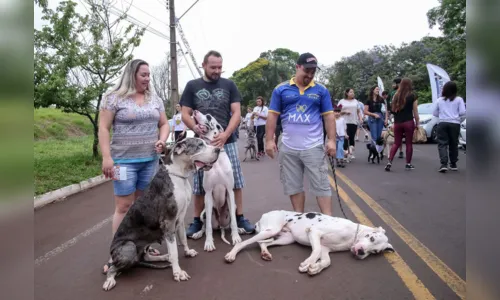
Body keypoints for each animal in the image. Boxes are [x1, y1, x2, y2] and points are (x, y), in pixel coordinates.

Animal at [102, 137, 221, 290]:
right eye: (200, 145)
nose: (218, 149)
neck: (179, 176)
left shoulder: (180, 219)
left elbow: (183, 239)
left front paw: (187, 252)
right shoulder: (168, 222)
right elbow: (174, 251)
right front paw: (178, 273)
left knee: (146, 256)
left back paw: (164, 257)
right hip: (129, 247)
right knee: (114, 267)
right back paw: (110, 279)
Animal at [224, 210, 394, 276]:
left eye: (375, 252)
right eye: (371, 238)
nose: (361, 253)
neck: (351, 234)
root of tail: (264, 215)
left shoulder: (326, 249)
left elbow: (327, 261)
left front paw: (315, 267)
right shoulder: (314, 232)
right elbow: (316, 251)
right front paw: (307, 263)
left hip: (285, 239)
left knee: (262, 243)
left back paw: (265, 253)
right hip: (271, 230)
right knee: (243, 243)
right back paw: (231, 255)